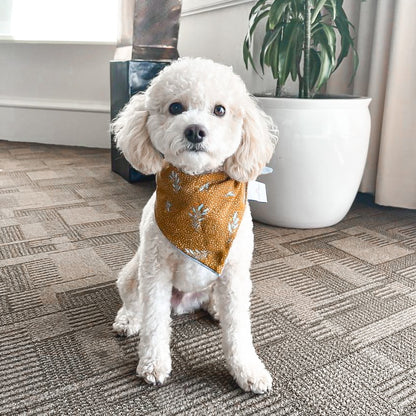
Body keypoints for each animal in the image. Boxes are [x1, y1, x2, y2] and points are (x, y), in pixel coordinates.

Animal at [112, 57, 278, 394]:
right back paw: (128, 320)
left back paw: (215, 309)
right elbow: (154, 321)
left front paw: (247, 370)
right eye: (175, 107)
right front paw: (153, 364)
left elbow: (239, 328)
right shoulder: (156, 270)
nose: (195, 131)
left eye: (220, 110)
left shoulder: (235, 273)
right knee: (133, 301)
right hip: (133, 272)